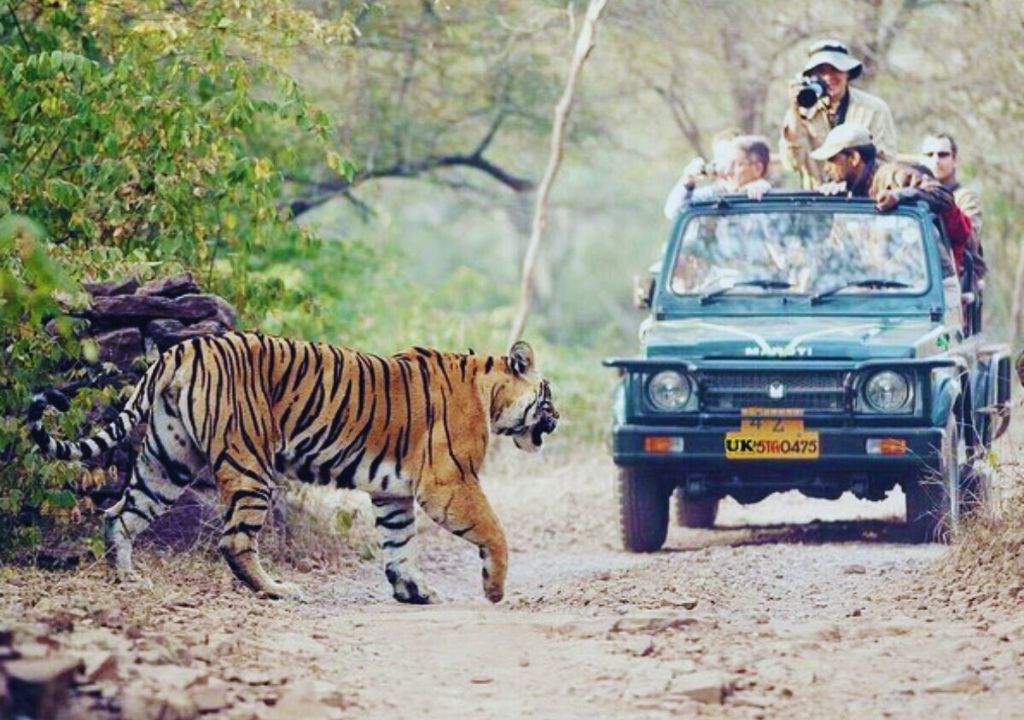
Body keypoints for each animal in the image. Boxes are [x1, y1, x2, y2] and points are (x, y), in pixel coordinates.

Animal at [28, 331, 558, 604]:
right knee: (234, 541)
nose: (558, 419)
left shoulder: (393, 491)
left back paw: (127, 579)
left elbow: (399, 542)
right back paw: (278, 590)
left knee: (119, 514)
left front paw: (412, 590)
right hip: (249, 466)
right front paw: (495, 589)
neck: (490, 394)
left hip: (167, 462)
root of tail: (180, 350)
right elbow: (494, 531)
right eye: (548, 396)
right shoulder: (449, 481)